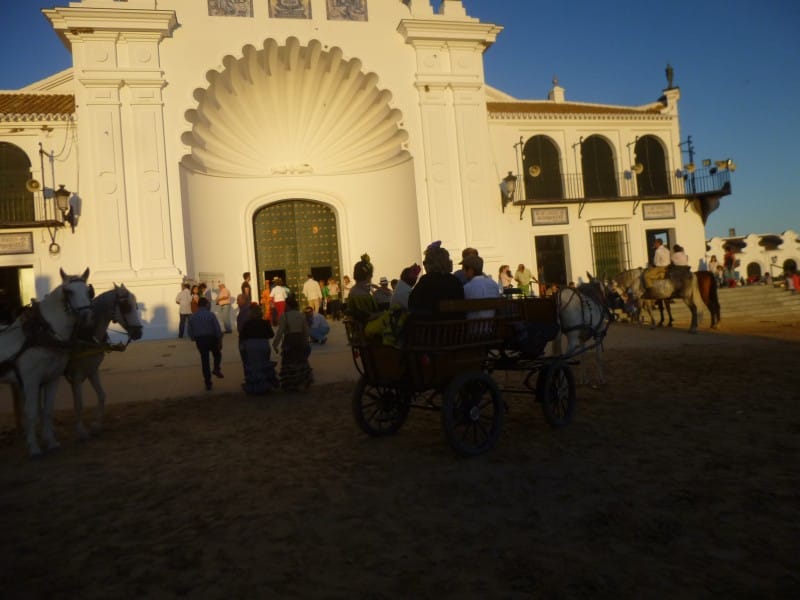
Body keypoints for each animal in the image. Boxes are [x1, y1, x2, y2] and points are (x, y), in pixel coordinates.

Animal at [0, 270, 94, 458]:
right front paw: (34, 448)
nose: (87, 316)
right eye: (68, 291)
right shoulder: (30, 380)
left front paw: (51, 443)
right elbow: (31, 412)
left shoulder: (52, 378)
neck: (45, 335)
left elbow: (48, 411)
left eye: (89, 292)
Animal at [66, 284, 143, 438]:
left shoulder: (92, 370)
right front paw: (80, 430)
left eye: (136, 305)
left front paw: (96, 425)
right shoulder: (76, 374)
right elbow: (78, 402)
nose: (139, 332)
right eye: (125, 306)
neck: (87, 335)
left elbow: (101, 395)